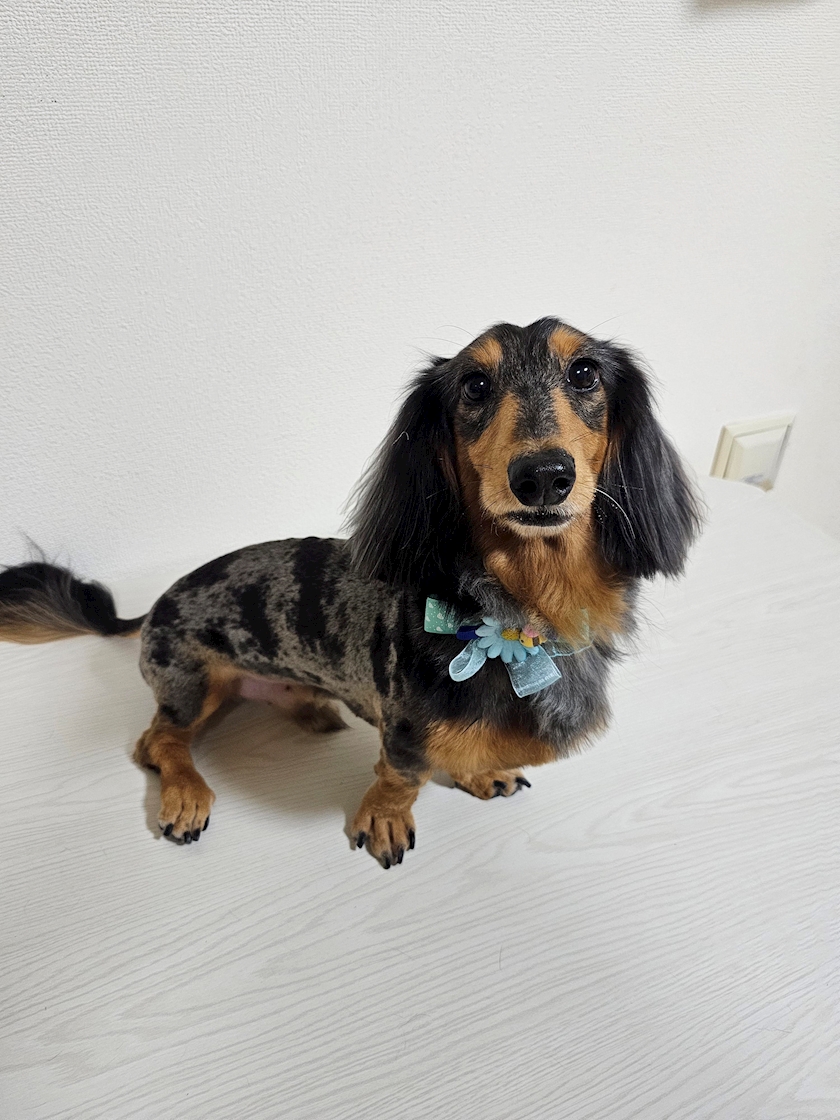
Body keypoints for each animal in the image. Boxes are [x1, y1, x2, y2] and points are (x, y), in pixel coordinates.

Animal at [0, 318, 701, 866]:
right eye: (474, 385)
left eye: (584, 373)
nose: (543, 475)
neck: (521, 611)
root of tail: (160, 600)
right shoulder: (405, 727)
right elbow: (401, 776)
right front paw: (386, 819)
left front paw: (480, 773)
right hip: (191, 682)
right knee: (157, 742)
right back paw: (186, 794)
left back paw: (312, 709)